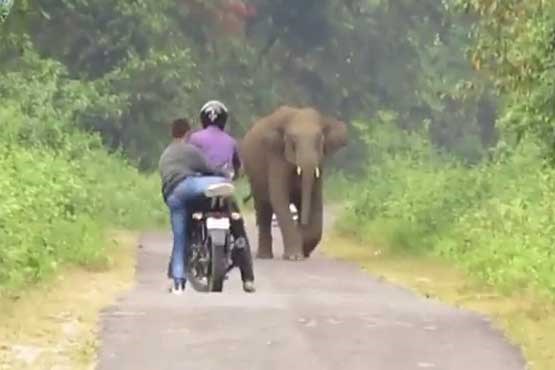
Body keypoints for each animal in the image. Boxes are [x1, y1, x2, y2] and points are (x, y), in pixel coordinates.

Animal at [239, 104, 348, 260]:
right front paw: (294, 257)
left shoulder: (319, 164)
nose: (302, 224)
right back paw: (264, 256)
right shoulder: (276, 155)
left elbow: (316, 199)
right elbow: (279, 198)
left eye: (318, 141)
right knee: (263, 209)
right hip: (254, 177)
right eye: (293, 142)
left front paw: (303, 249)